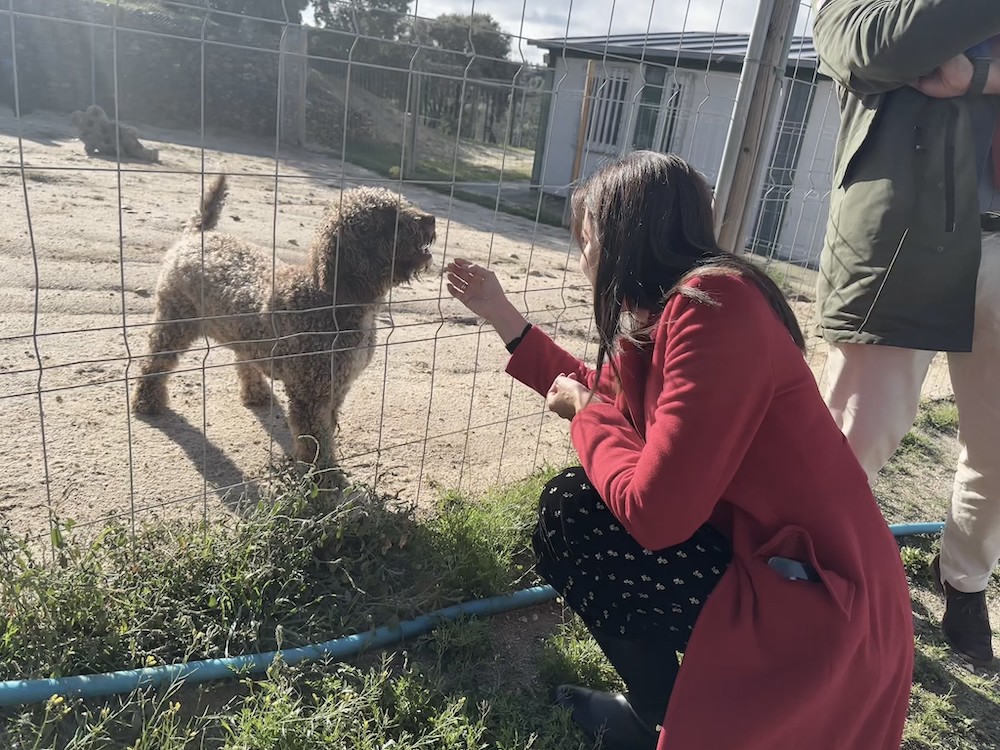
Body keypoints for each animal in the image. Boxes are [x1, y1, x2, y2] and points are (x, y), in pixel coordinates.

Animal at [131, 176, 436, 476]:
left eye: (401, 204)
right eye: (387, 218)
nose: (430, 219)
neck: (330, 299)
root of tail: (198, 235)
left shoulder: (335, 389)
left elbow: (326, 432)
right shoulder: (310, 395)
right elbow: (316, 442)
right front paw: (324, 481)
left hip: (242, 333)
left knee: (243, 359)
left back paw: (256, 393)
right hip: (175, 320)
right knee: (156, 361)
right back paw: (147, 401)